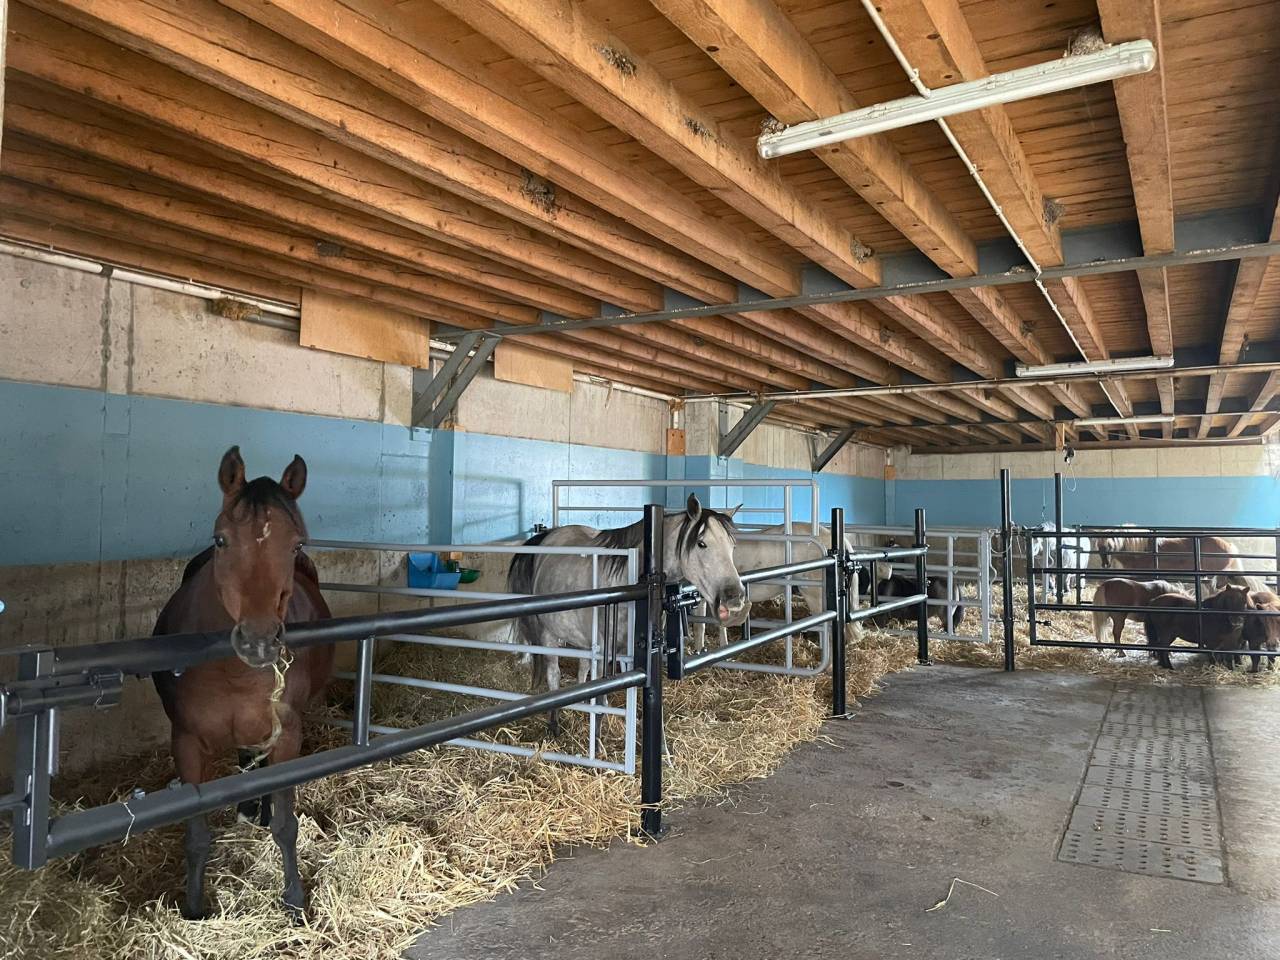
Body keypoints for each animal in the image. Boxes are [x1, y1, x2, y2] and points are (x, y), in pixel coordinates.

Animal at [152, 447, 335, 920]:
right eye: (221, 540)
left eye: (296, 544)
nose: (258, 641)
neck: (232, 673)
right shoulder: (185, 742)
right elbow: (197, 837)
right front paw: (193, 908)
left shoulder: (287, 736)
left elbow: (287, 825)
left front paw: (294, 900)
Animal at [508, 494, 745, 733]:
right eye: (701, 543)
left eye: (733, 546)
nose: (735, 597)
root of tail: (545, 536)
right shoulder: (605, 655)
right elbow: (601, 702)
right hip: (548, 634)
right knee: (554, 675)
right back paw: (554, 724)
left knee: (582, 671)